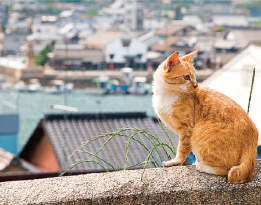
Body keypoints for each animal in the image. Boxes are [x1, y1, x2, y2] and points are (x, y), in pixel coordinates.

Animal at [151, 50, 256, 184]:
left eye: (195, 76)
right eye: (186, 77)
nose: (196, 85)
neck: (166, 94)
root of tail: (252, 136)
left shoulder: (187, 130)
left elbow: (182, 150)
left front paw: (175, 162)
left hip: (199, 134)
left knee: (226, 169)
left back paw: (201, 166)